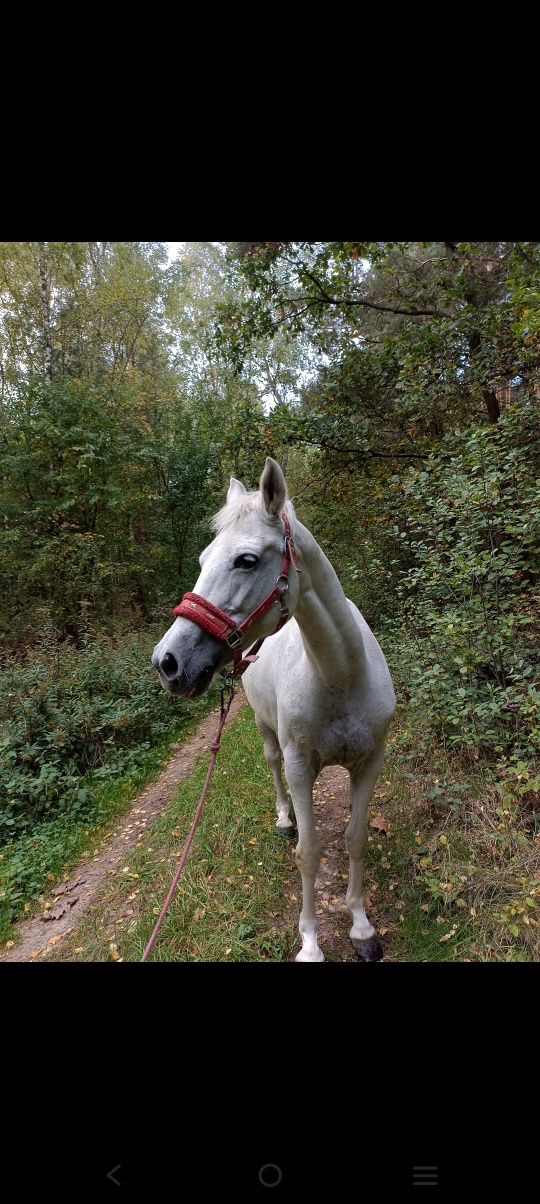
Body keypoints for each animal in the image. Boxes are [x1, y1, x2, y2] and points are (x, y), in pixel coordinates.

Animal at [151, 455, 394, 963]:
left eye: (246, 560)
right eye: (203, 560)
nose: (168, 662)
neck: (341, 676)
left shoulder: (370, 762)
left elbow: (355, 839)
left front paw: (361, 928)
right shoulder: (302, 768)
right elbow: (309, 852)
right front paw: (310, 944)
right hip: (264, 727)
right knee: (272, 764)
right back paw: (283, 818)